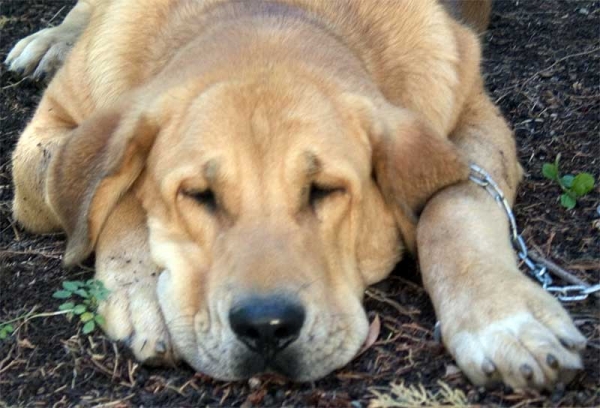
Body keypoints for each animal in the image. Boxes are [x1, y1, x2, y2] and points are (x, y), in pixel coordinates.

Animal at [4, 0, 584, 388]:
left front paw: (502, 315)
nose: (267, 328)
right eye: (199, 194)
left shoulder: (474, 115)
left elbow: (456, 200)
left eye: (323, 190)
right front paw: (140, 286)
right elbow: (118, 192)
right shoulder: (46, 136)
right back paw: (51, 41)